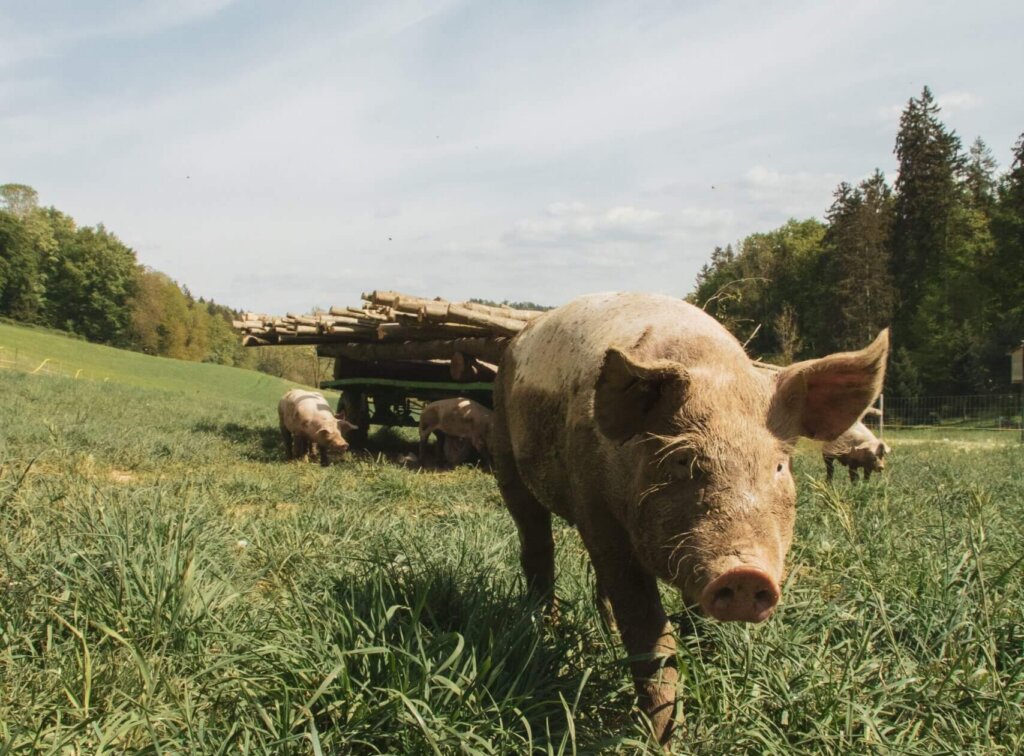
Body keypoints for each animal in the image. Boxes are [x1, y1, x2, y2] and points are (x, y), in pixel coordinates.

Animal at [491, 292, 888, 747]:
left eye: (778, 466)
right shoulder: (597, 511)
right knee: (536, 544)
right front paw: (663, 739)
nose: (746, 573)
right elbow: (649, 630)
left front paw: (710, 663)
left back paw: (600, 633)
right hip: (504, 451)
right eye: (683, 460)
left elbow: (691, 616)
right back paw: (544, 628)